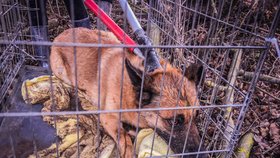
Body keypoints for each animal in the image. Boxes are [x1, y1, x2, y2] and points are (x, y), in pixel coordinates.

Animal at [49, 27, 206, 157]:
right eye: (174, 121)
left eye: (196, 115)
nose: (203, 155)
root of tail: (64, 33)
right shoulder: (108, 118)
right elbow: (124, 138)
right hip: (62, 72)